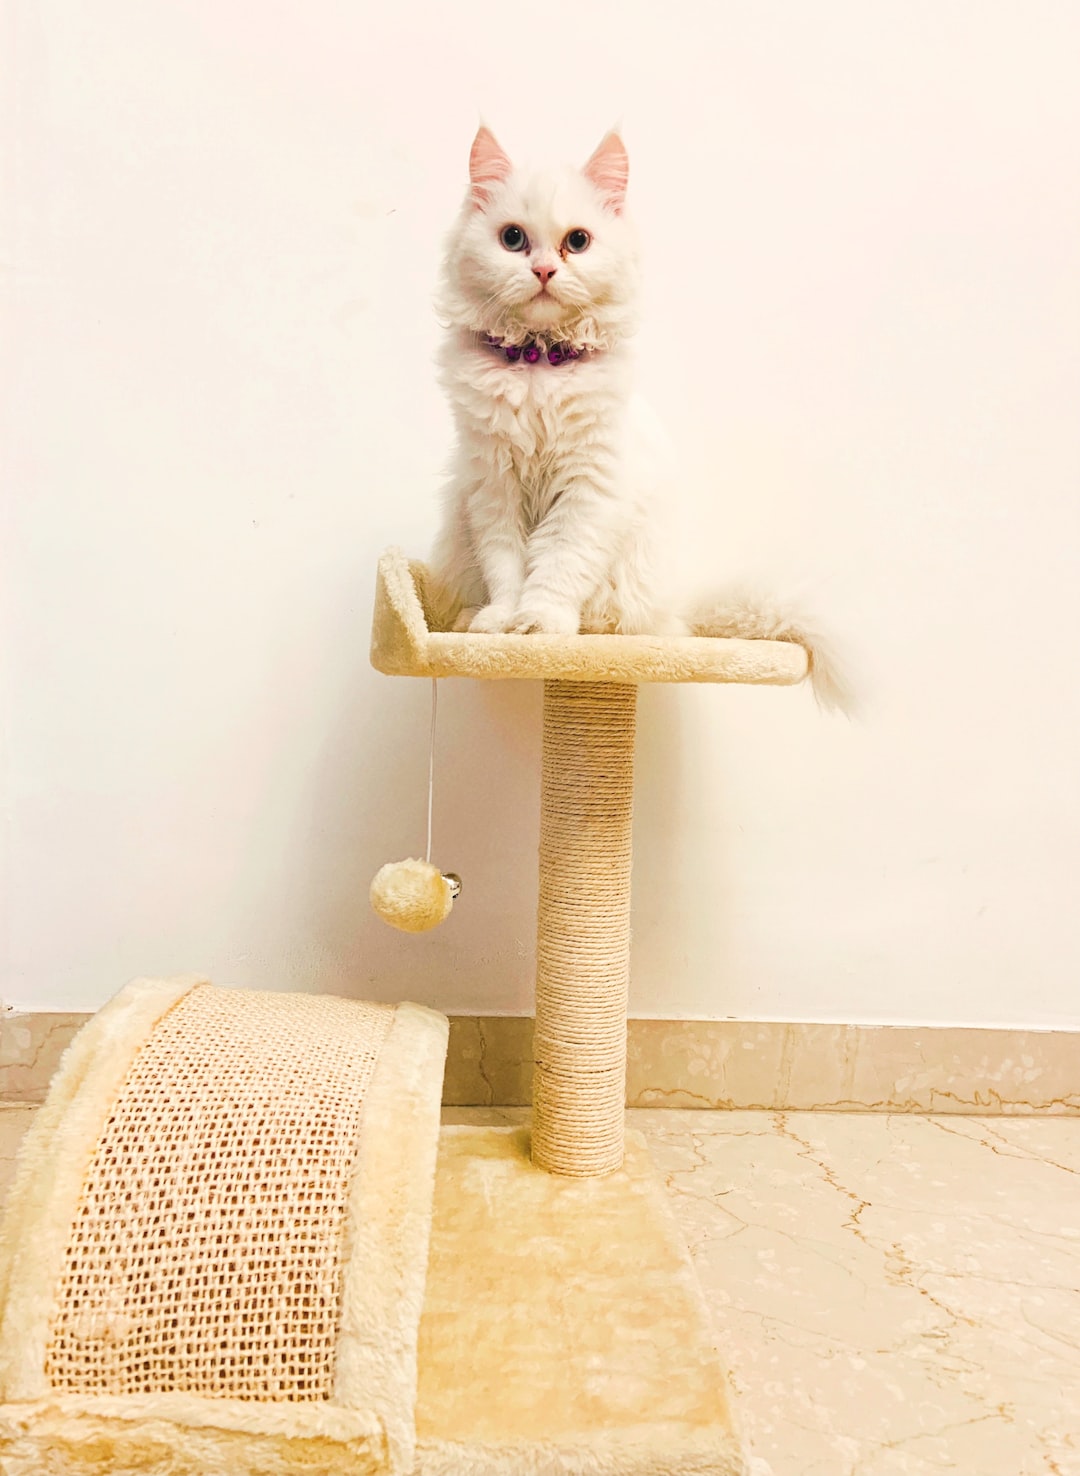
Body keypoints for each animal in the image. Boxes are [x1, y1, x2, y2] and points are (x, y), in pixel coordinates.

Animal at [427, 127, 852, 712]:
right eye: (512, 239)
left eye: (577, 242)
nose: (543, 271)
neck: (538, 362)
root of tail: (678, 614)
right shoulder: (492, 485)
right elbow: (506, 566)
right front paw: (500, 625)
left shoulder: (590, 488)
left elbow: (556, 563)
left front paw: (538, 627)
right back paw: (473, 617)